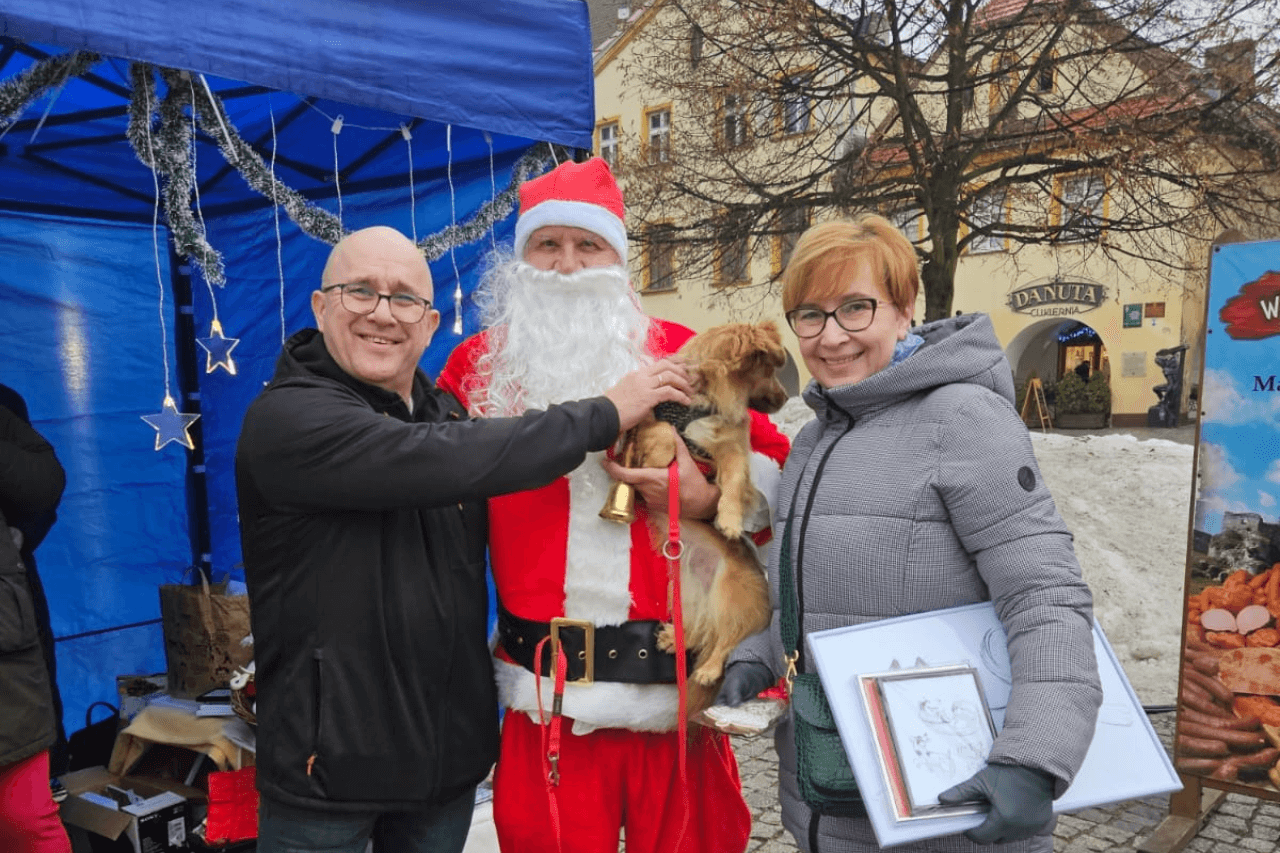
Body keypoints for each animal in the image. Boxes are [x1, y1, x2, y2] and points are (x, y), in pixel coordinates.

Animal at [622, 322, 788, 706]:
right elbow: (665, 434)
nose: (787, 398)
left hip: (732, 594)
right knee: (702, 630)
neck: (703, 402)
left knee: (726, 640)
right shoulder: (650, 420)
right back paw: (674, 638)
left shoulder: (733, 448)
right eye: (769, 370)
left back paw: (710, 669)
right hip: (686, 590)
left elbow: (735, 482)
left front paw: (729, 519)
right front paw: (656, 456)